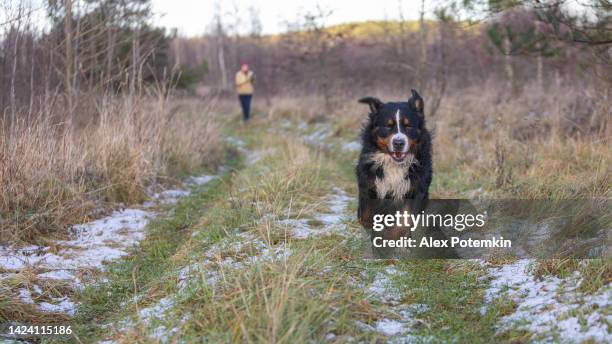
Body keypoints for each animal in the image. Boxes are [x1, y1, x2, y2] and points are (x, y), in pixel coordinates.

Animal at [352, 89, 432, 242]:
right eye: (388, 126)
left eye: (408, 126)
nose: (398, 143)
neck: (394, 164)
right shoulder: (368, 183)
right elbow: (365, 215)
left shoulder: (416, 188)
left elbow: (404, 220)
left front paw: (389, 236)